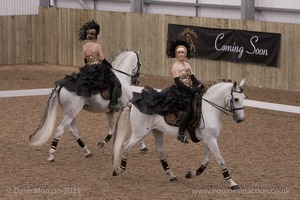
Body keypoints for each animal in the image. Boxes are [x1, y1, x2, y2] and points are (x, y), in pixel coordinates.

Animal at [112, 78, 246, 189]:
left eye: (244, 98)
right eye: (236, 99)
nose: (241, 119)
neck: (210, 110)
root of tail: (133, 102)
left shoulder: (210, 139)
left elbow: (207, 160)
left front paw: (191, 174)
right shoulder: (211, 140)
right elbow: (220, 160)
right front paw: (232, 183)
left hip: (157, 131)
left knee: (159, 152)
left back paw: (172, 176)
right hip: (139, 133)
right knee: (126, 146)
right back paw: (119, 170)